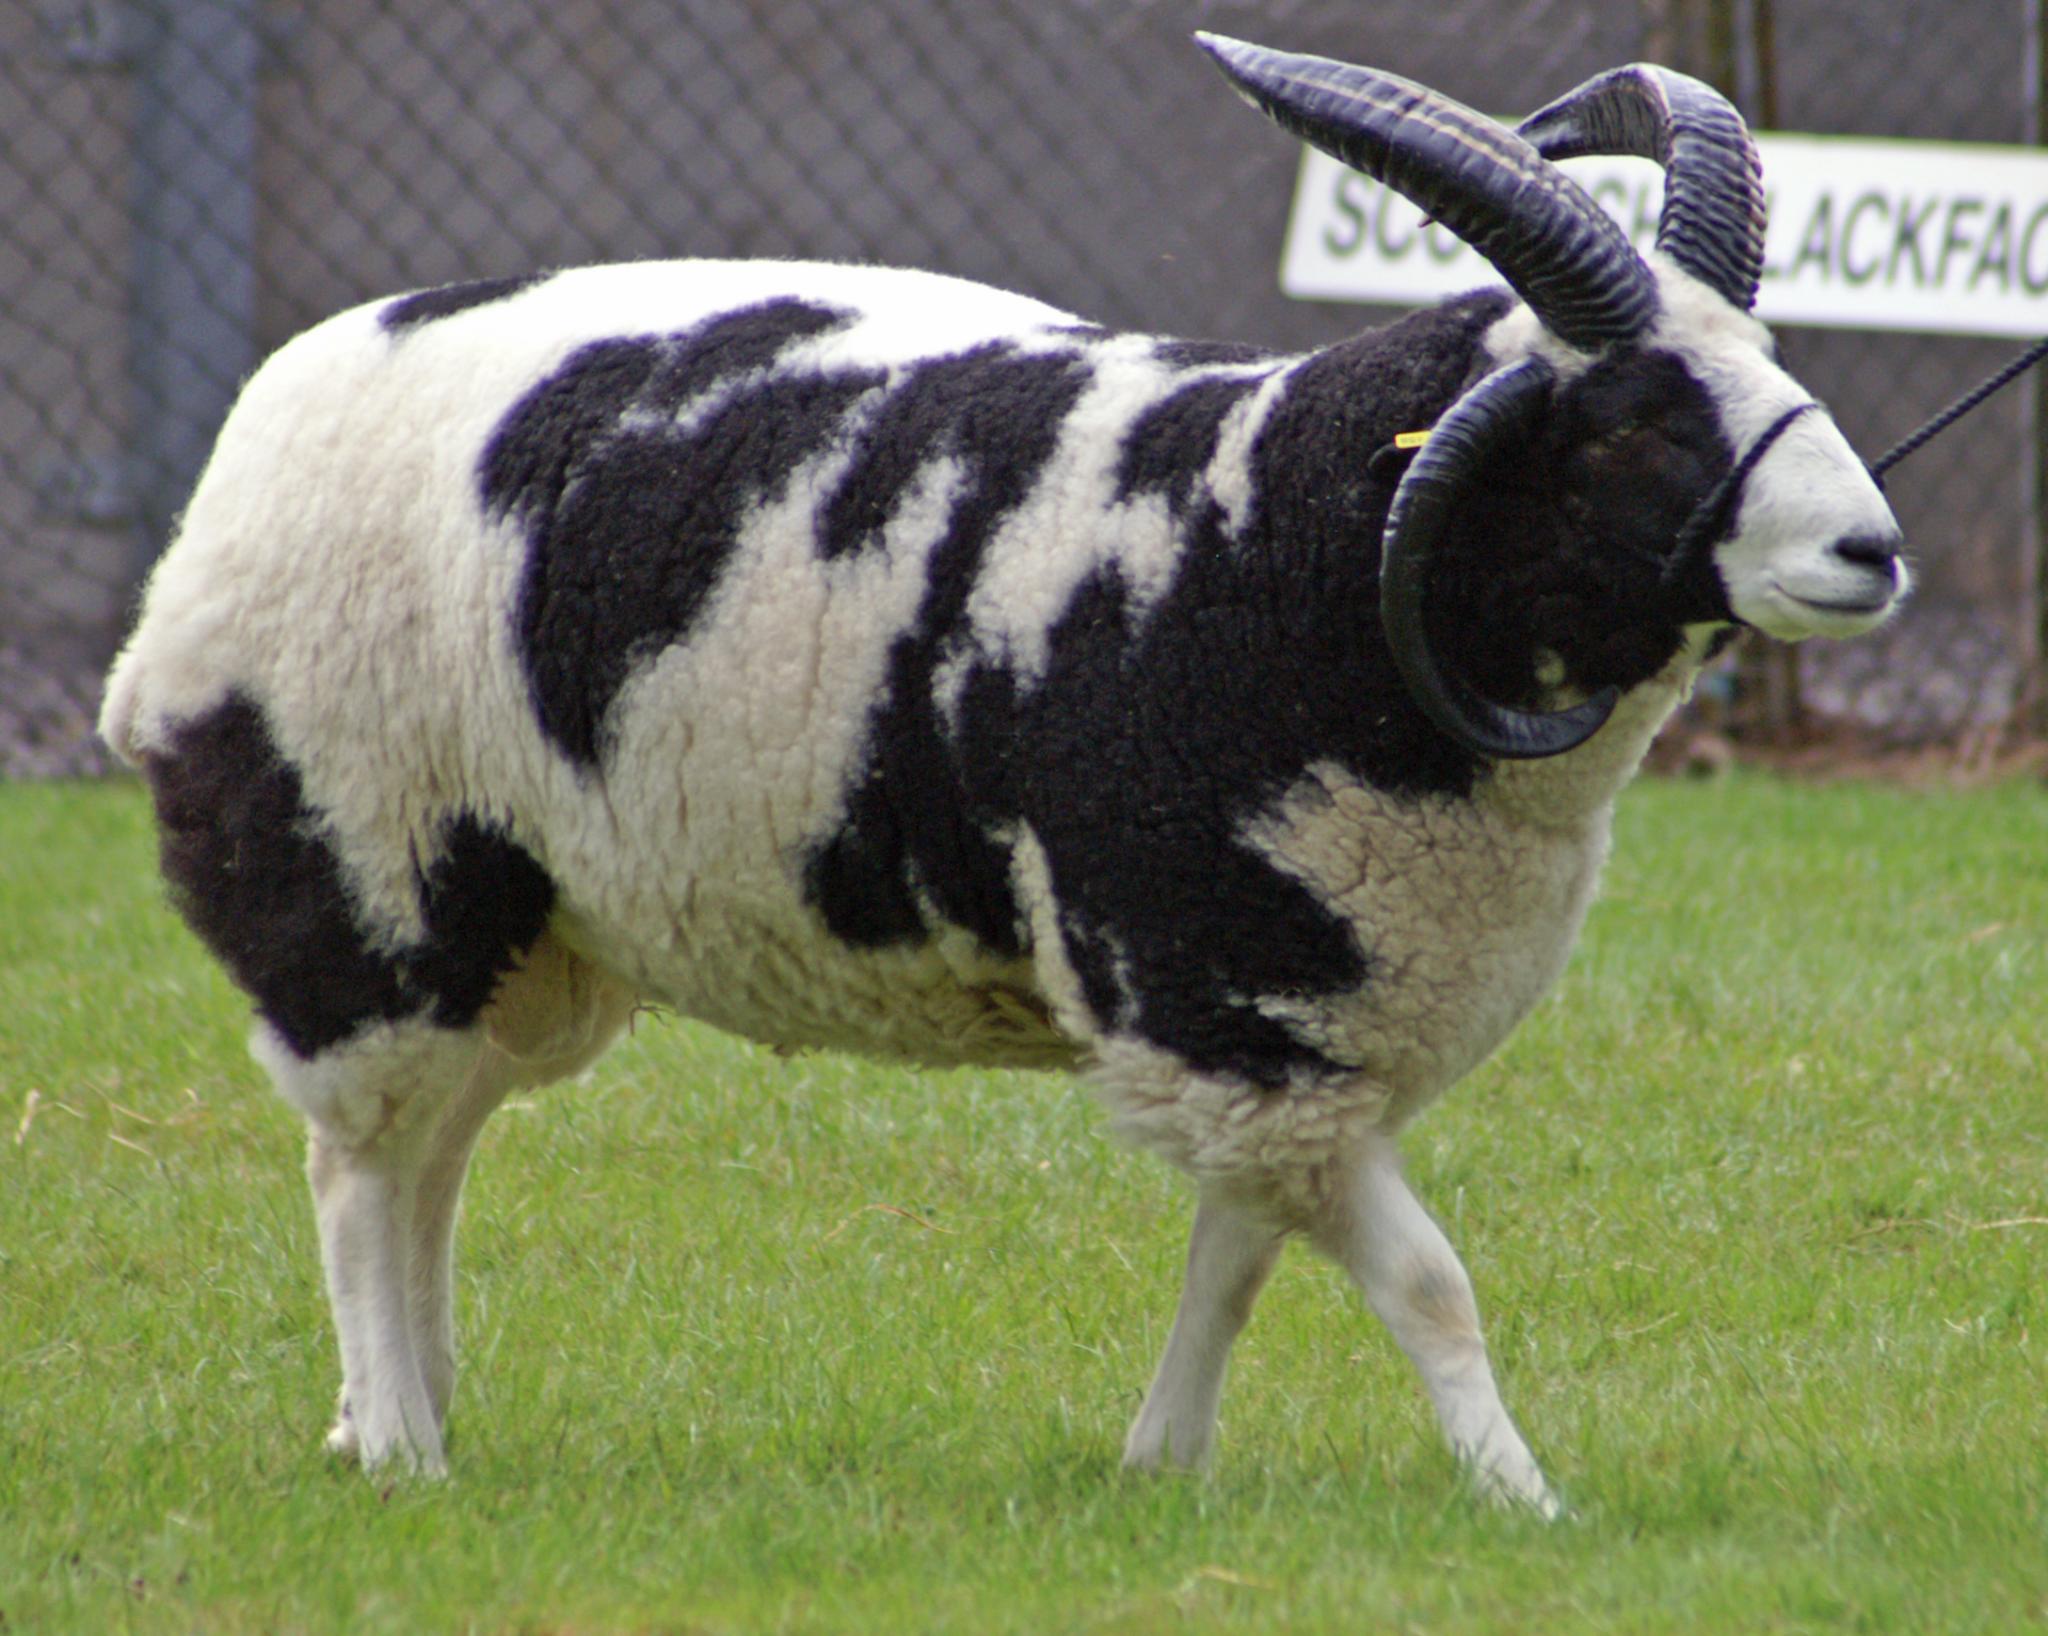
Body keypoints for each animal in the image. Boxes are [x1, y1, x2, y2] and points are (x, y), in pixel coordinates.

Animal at [103, 38, 1908, 1515]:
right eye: (1626, 420)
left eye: (1766, 358)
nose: (1869, 551)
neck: (1279, 545)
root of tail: (266, 416)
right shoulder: (1211, 982)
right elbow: (1422, 1284)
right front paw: (1525, 1505)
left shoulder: (1269, 1027)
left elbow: (1237, 1258)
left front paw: (1160, 1471)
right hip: (358, 873)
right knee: (360, 1169)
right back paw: (405, 1449)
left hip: (522, 922)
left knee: (435, 1158)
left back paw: (393, 1418)